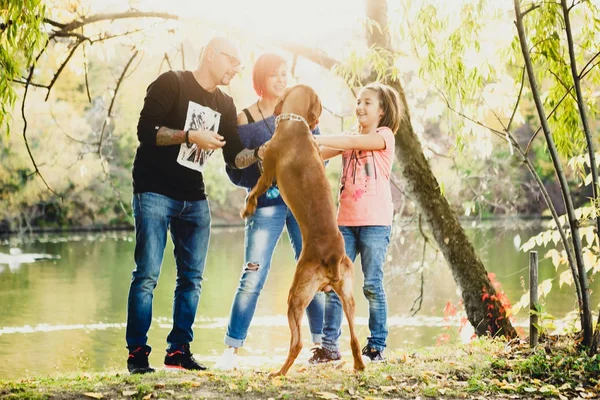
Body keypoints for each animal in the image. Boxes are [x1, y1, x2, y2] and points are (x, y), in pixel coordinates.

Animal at [240, 84, 366, 376]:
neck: (294, 125)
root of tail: (332, 256)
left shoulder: (267, 172)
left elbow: (254, 191)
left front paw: (247, 208)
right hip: (347, 296)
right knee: (354, 338)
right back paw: (358, 365)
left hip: (295, 298)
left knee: (296, 343)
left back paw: (278, 373)